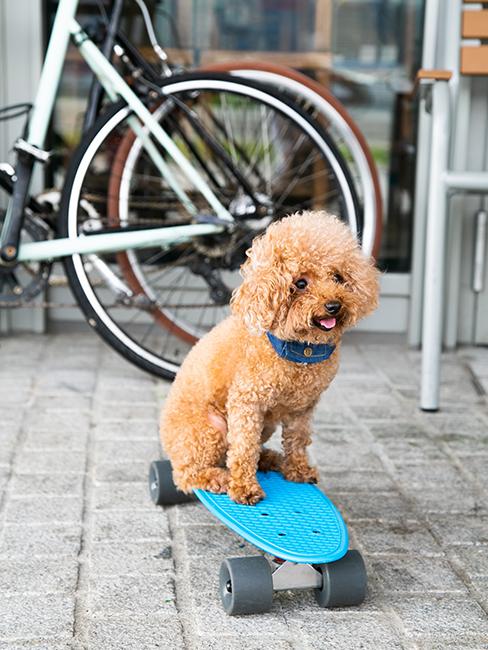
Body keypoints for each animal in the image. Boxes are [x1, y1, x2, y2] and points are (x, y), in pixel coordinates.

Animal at [162, 210, 380, 504]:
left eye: (337, 277)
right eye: (300, 283)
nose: (333, 305)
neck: (299, 351)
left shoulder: (302, 408)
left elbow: (298, 440)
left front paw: (297, 470)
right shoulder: (247, 402)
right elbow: (243, 448)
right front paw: (244, 488)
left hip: (264, 426)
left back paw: (269, 459)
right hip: (208, 431)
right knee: (187, 474)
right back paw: (219, 478)